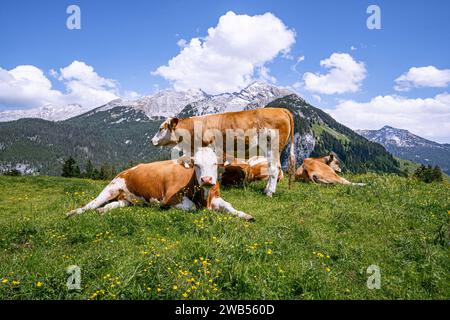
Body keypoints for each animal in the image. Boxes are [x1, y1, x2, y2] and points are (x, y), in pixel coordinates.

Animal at [66, 147, 253, 220]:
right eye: (197, 165)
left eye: (215, 164)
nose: (206, 180)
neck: (204, 197)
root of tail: (126, 170)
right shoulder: (170, 198)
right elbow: (192, 207)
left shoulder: (216, 197)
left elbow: (229, 206)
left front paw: (245, 215)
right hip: (111, 188)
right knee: (91, 204)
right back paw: (73, 212)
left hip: (127, 199)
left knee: (115, 204)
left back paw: (103, 210)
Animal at [151, 108, 298, 198]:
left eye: (160, 128)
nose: (152, 140)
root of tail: (280, 109)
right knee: (275, 167)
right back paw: (267, 189)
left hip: (272, 146)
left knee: (274, 169)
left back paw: (269, 192)